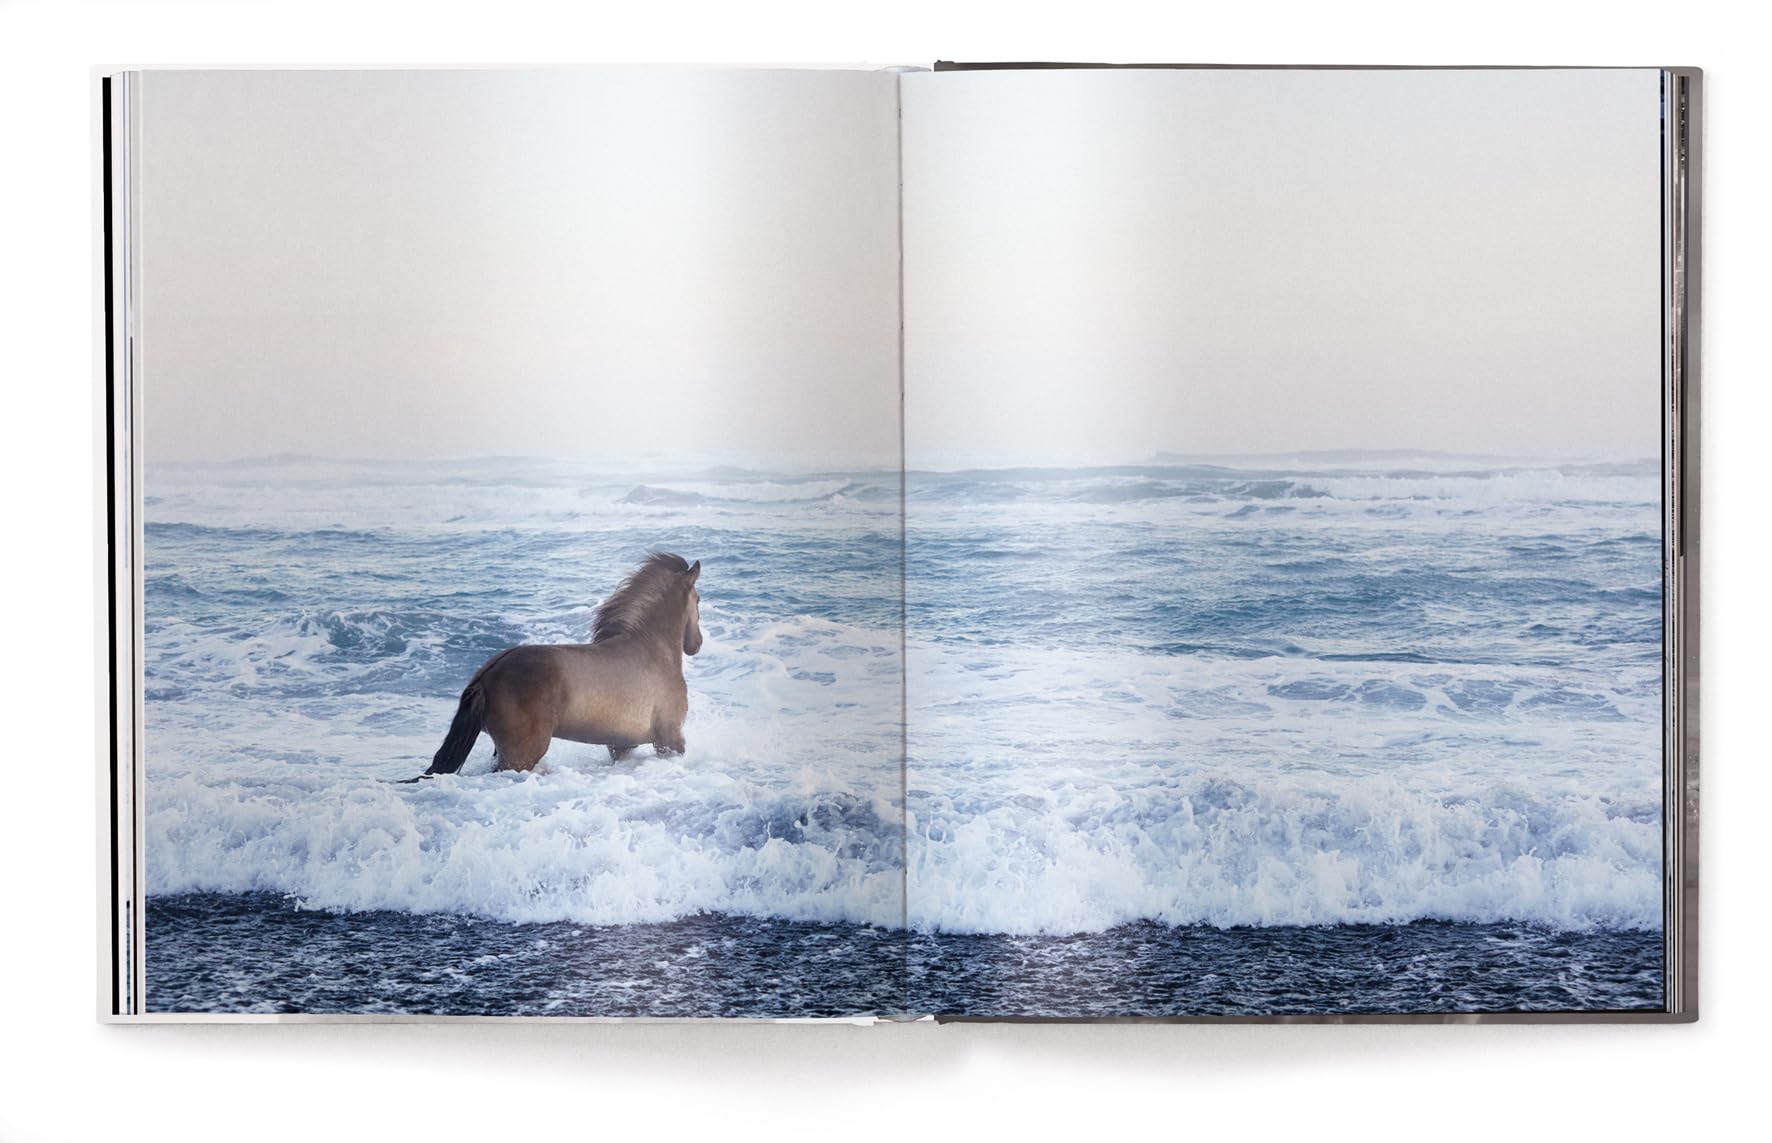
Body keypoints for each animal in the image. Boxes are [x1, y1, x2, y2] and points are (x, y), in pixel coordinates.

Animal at [419, 552, 703, 777]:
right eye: (698, 599)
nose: (697, 643)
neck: (650, 650)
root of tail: (485, 678)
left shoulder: (621, 746)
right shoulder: (669, 739)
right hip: (522, 755)